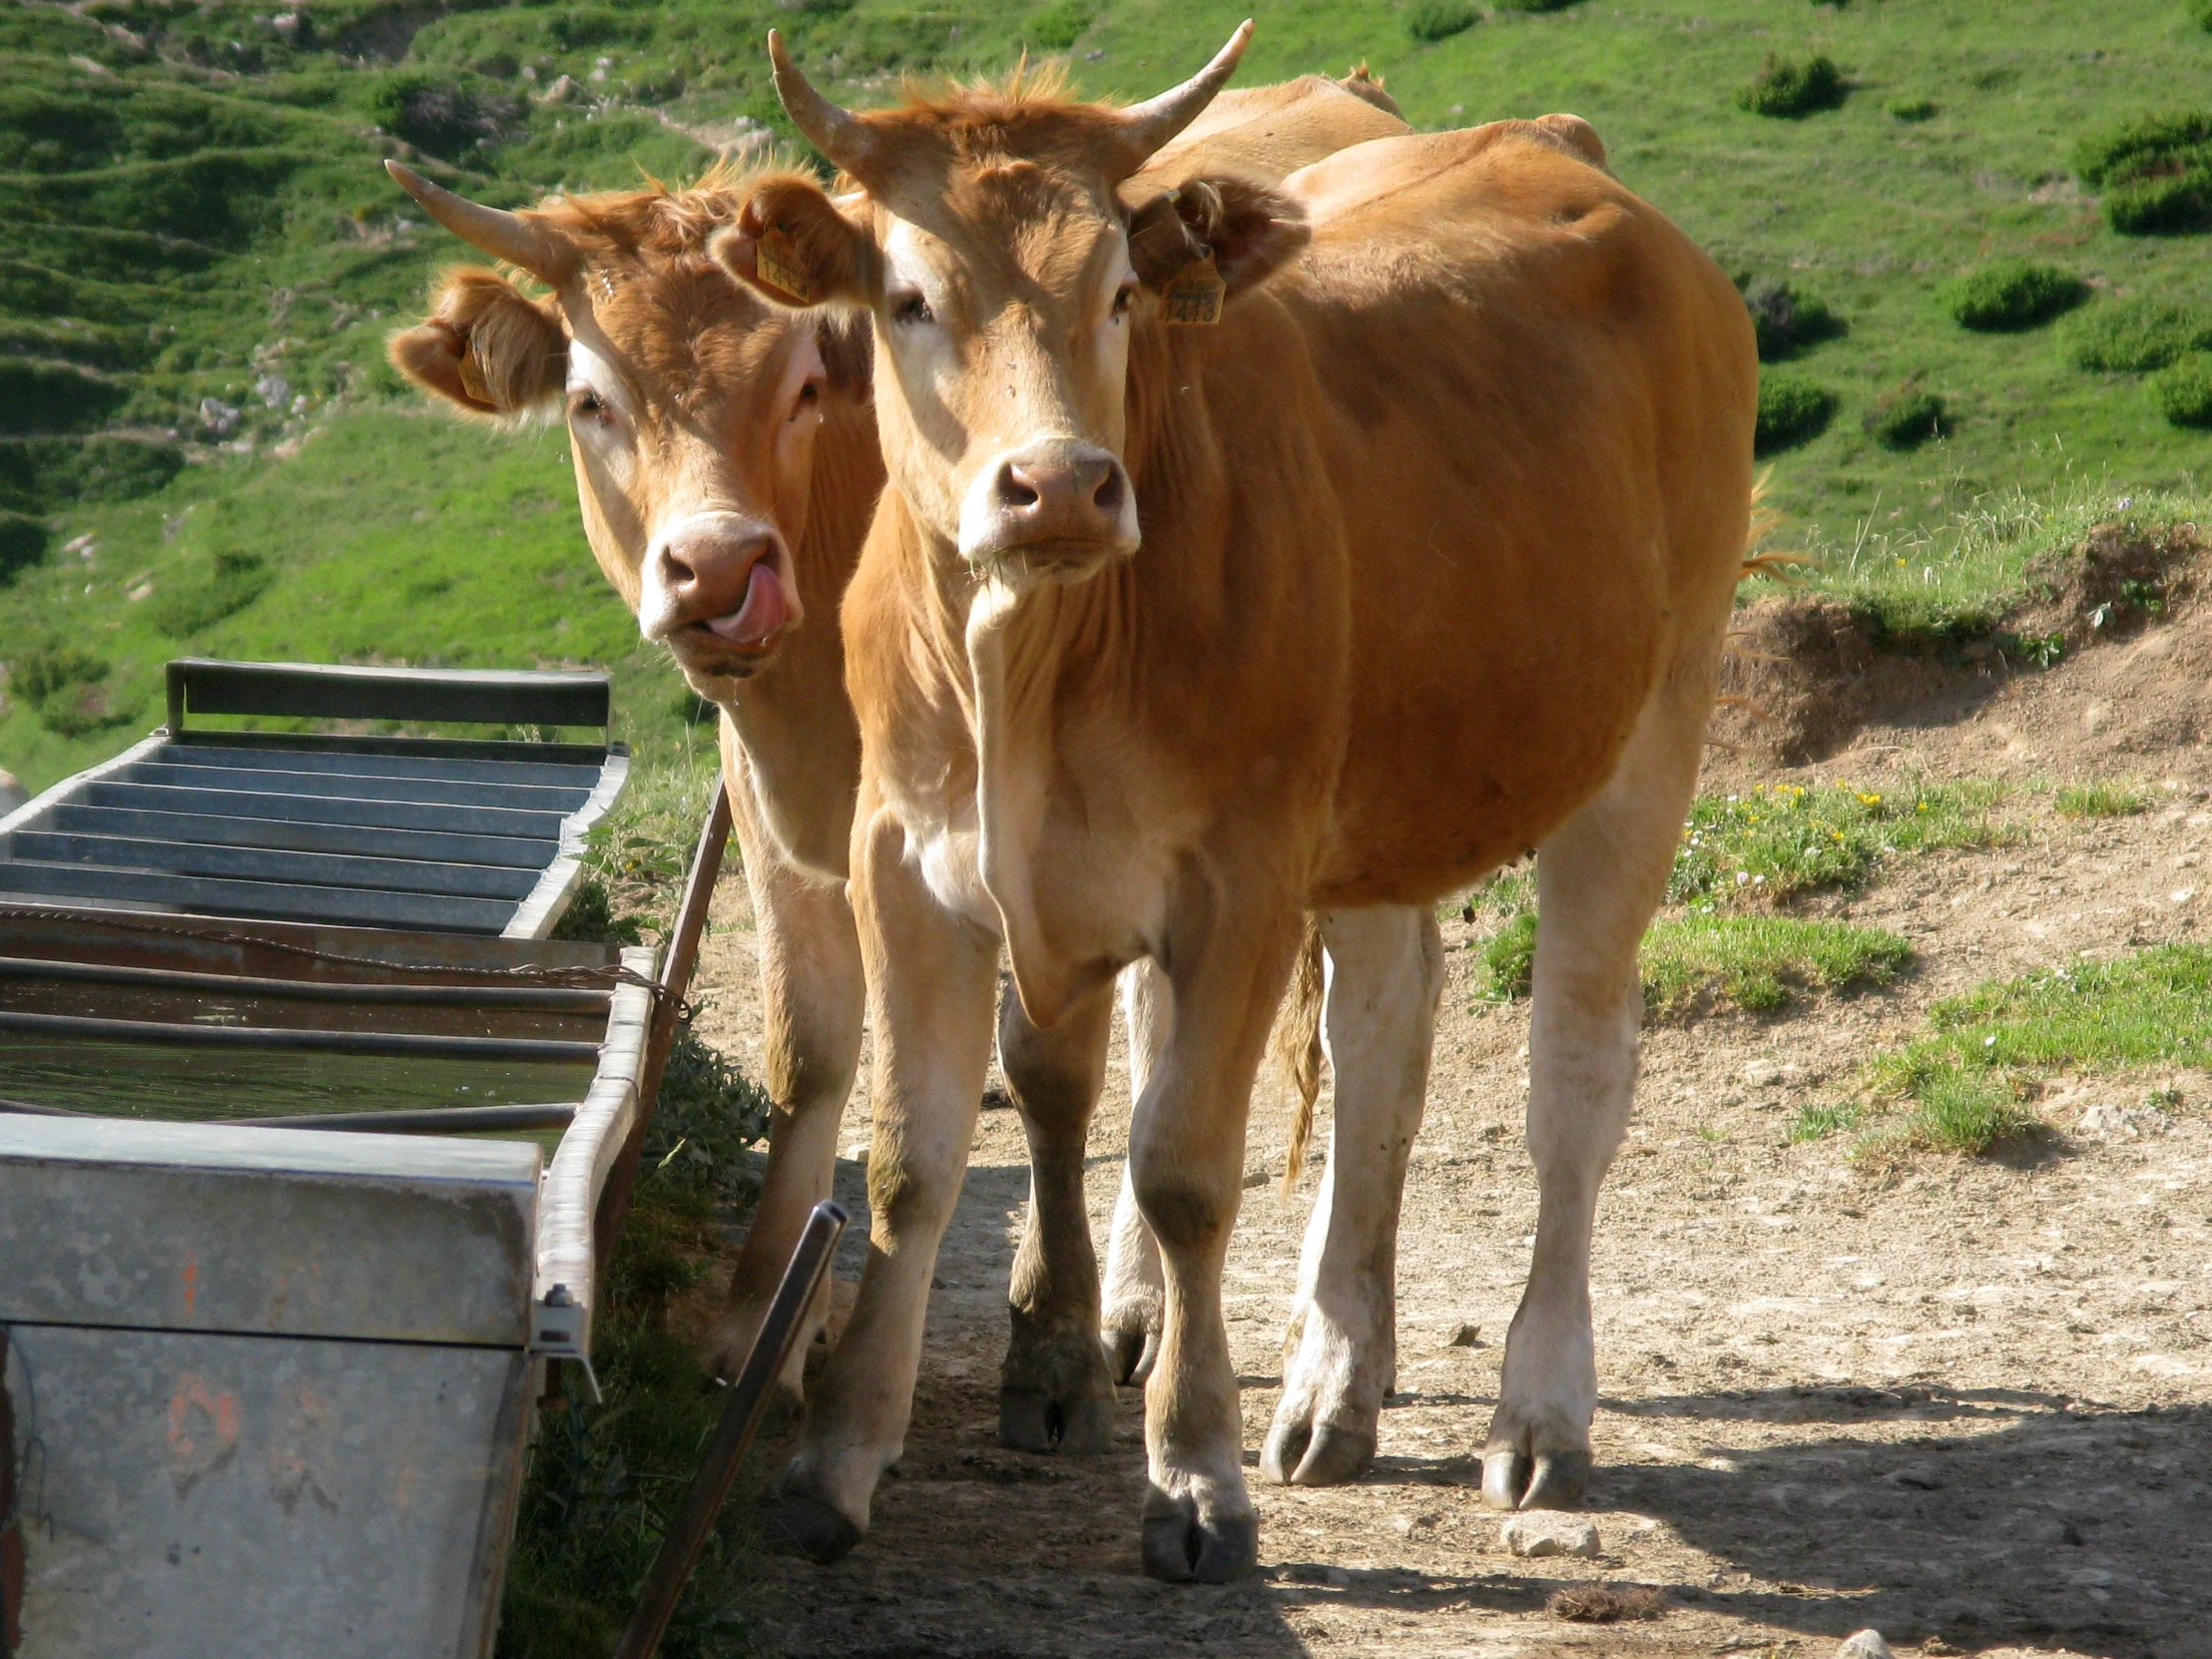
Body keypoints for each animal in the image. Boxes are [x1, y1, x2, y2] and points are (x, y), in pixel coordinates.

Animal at [375, 74, 1432, 1477]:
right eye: (596, 400)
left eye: (803, 377)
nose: (718, 571)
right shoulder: (784, 820)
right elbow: (812, 1052)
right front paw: (763, 1326)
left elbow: (1042, 1070)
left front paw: (1043, 1344)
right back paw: (1146, 1315)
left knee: (1376, 1021)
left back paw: (1331, 1372)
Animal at [716, 26, 1752, 1583]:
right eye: (906, 297)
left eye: (1120, 290)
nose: (1058, 486)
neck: (1032, 656)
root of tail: (1548, 142)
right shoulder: (907, 865)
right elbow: (910, 1166)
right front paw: (833, 1465)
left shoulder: (1238, 881)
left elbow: (1185, 1176)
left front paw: (1189, 1475)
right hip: (1381, 798)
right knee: (1382, 1033)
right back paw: (1334, 1383)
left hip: (1650, 725)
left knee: (1574, 1067)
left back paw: (1539, 1407)